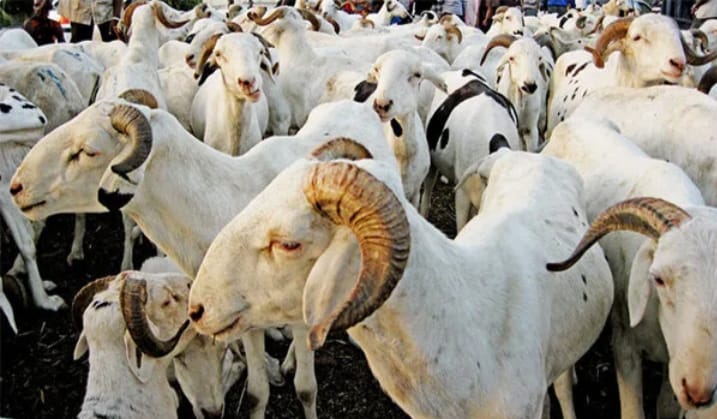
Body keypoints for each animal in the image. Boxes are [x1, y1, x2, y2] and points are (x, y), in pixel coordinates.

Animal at [10, 98, 398, 419]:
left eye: (87, 151)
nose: (16, 187)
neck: (219, 202)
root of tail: (358, 104)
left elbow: (305, 389)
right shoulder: (240, 320)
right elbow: (256, 393)